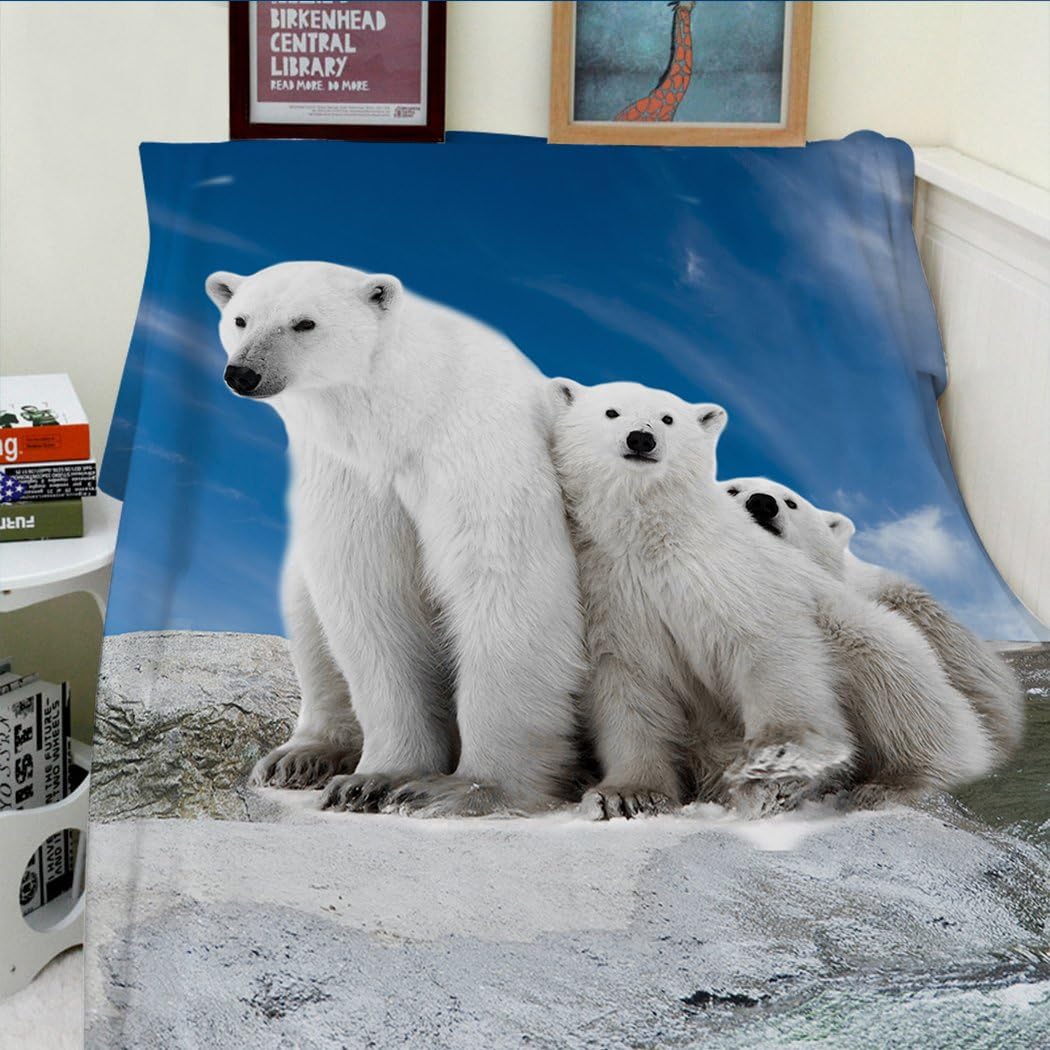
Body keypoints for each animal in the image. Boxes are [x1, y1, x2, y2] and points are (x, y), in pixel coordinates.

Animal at [206, 262, 587, 816]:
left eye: (304, 323)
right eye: (240, 319)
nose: (243, 373)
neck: (406, 414)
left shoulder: (479, 451)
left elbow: (504, 583)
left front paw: (467, 788)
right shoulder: (351, 475)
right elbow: (373, 600)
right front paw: (374, 780)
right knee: (305, 611)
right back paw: (303, 755)